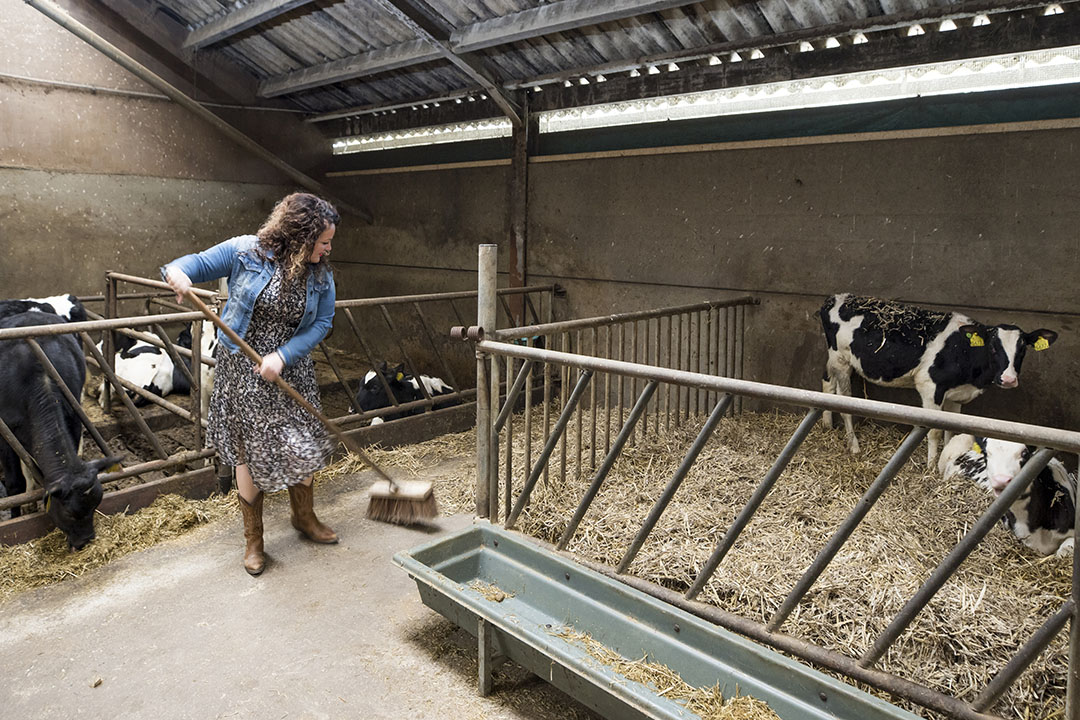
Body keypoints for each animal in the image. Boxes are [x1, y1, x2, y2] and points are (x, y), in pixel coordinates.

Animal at [0, 310, 122, 552]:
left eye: (96, 504)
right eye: (70, 513)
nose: (85, 541)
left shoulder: (72, 418)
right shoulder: (6, 435)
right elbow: (14, 484)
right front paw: (16, 516)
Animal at [816, 293, 1054, 468]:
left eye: (1022, 349)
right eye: (994, 347)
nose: (1009, 379)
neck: (963, 351)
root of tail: (835, 298)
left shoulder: (956, 394)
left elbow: (951, 429)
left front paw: (947, 458)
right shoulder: (930, 388)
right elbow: (935, 431)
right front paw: (930, 466)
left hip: (833, 358)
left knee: (827, 383)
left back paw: (827, 426)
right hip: (841, 359)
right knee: (845, 401)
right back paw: (854, 445)